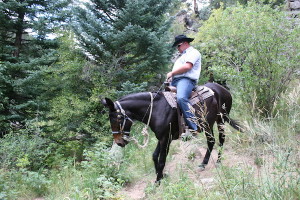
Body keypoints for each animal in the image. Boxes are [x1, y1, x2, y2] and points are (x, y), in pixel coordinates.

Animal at [102, 82, 243, 182]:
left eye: (118, 119)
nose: (119, 142)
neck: (156, 110)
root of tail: (222, 89)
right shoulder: (161, 137)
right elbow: (154, 156)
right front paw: (161, 175)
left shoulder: (166, 138)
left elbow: (162, 160)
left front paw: (158, 181)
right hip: (211, 123)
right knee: (213, 141)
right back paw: (207, 163)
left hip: (217, 121)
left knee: (217, 139)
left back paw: (213, 162)